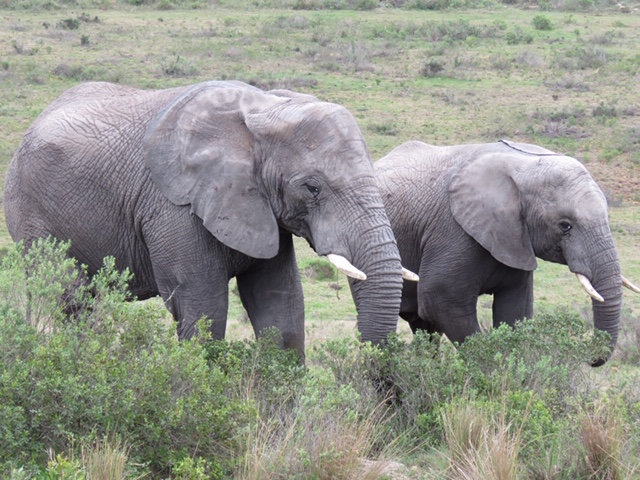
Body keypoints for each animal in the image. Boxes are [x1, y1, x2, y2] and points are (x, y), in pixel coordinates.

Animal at [5, 80, 416, 358]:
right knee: (72, 303)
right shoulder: (174, 207)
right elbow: (204, 309)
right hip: (32, 214)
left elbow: (281, 307)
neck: (266, 109)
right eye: (312, 188)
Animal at [376, 141, 640, 366]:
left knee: (424, 327)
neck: (524, 164)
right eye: (565, 226)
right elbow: (440, 301)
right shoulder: (451, 231)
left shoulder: (517, 241)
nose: (591, 359)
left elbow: (515, 310)